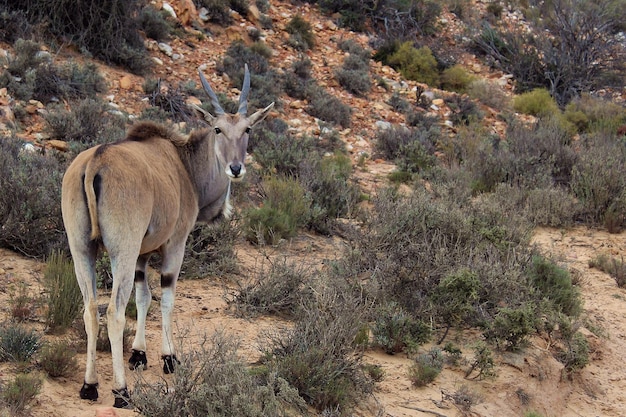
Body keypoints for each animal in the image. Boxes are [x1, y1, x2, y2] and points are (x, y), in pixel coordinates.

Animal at [60, 66, 270, 406]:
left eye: (248, 129)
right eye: (217, 129)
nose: (236, 168)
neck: (184, 165)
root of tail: (95, 162)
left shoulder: (142, 255)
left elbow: (143, 297)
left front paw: (139, 354)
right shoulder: (174, 245)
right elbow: (167, 297)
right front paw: (169, 357)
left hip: (82, 250)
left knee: (90, 309)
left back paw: (90, 385)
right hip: (121, 251)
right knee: (114, 312)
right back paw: (121, 391)